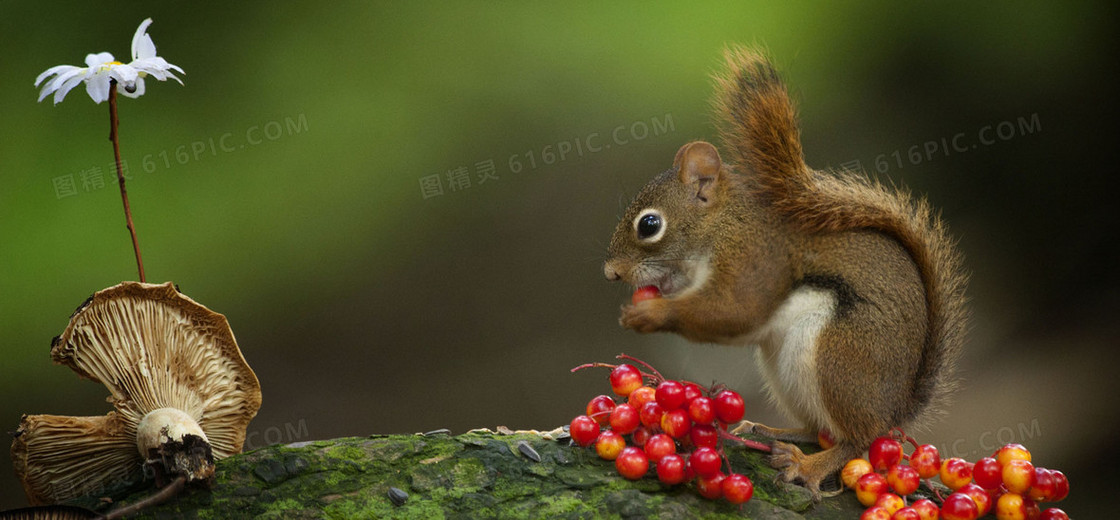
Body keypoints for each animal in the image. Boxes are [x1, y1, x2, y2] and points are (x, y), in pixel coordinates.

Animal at [604, 46, 972, 497]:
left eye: (650, 225)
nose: (611, 273)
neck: (723, 226)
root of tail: (896, 408)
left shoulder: (755, 259)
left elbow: (733, 310)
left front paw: (649, 314)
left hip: (839, 358)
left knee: (856, 440)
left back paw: (807, 467)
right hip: (783, 368)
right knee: (819, 429)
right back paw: (771, 431)